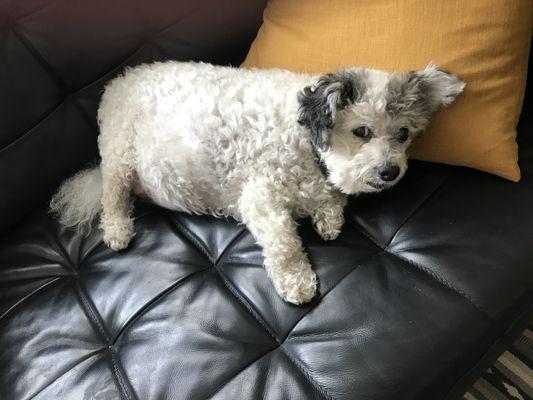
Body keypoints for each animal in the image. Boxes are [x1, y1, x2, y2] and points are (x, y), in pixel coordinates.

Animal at [51, 60, 466, 304]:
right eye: (361, 131)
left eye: (403, 134)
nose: (390, 172)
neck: (306, 141)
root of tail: (119, 81)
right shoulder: (260, 198)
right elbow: (284, 245)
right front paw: (297, 282)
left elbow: (330, 205)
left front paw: (328, 218)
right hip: (119, 152)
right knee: (112, 195)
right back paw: (117, 229)